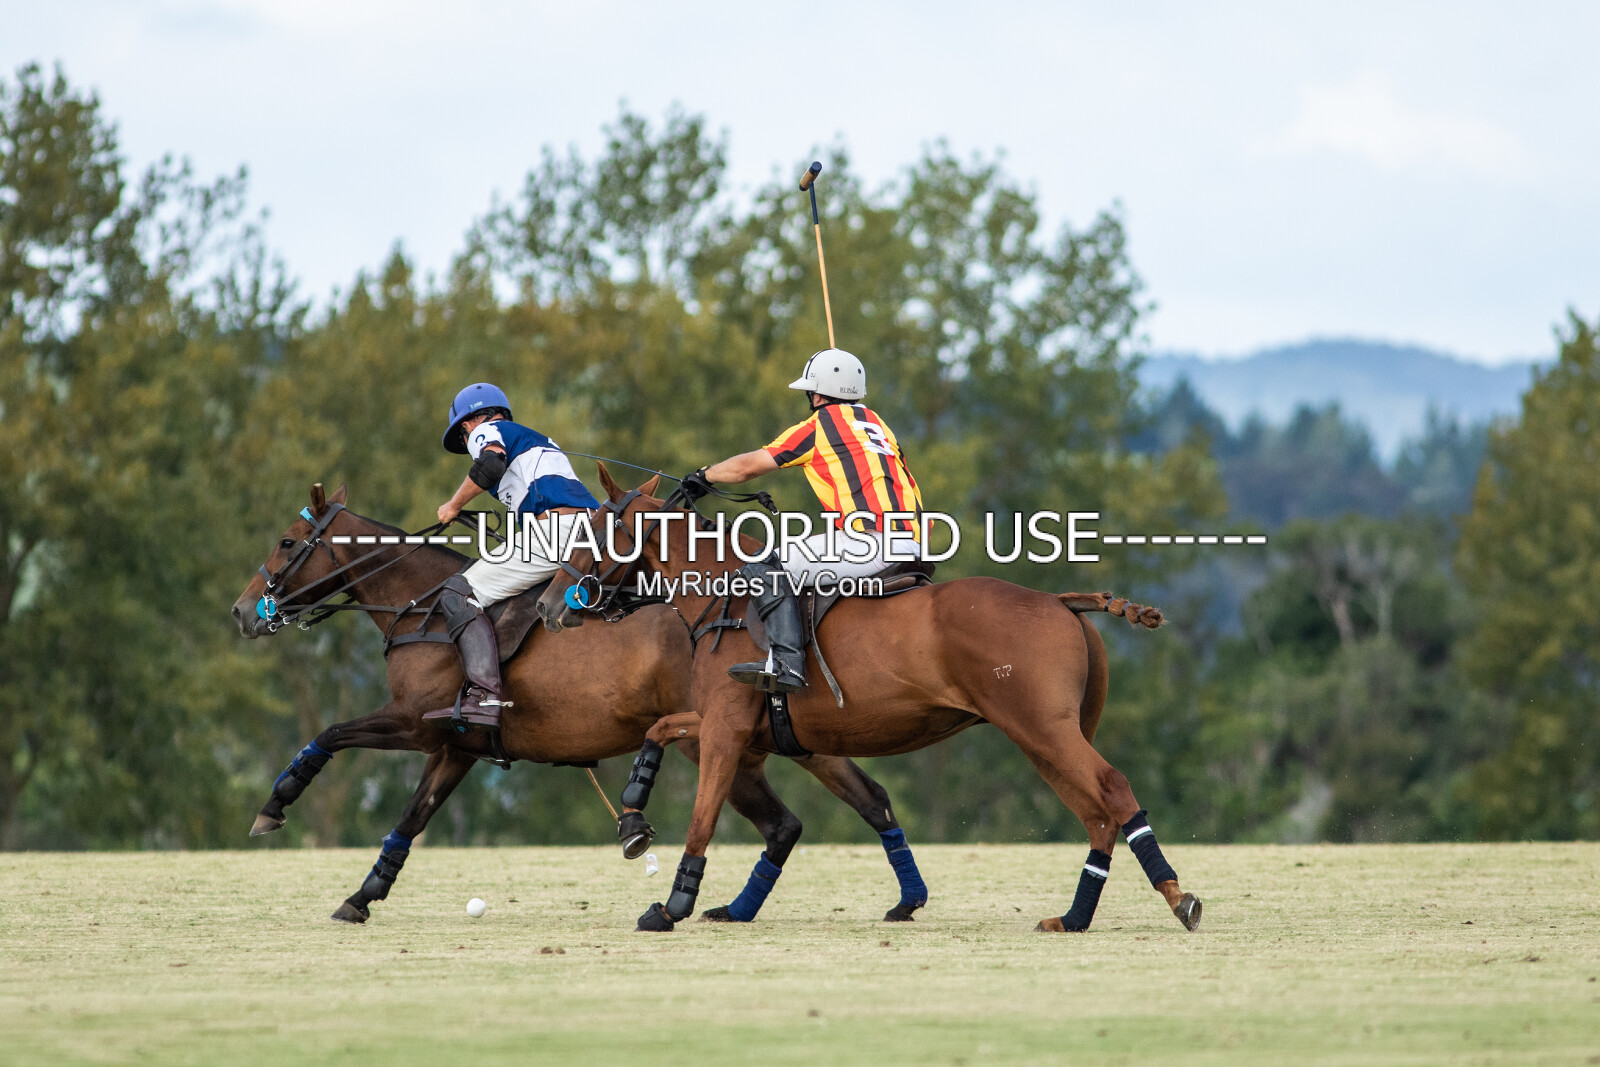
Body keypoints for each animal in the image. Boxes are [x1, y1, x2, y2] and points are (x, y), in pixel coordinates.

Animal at [230, 482, 933, 924]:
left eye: (288, 542)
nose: (241, 612)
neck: (419, 608)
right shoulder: (457, 746)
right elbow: (410, 819)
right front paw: (361, 896)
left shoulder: (415, 724)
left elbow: (330, 733)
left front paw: (273, 807)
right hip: (786, 733)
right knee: (846, 804)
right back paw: (888, 899)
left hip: (722, 738)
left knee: (793, 817)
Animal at [537, 473, 1202, 934]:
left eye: (590, 532)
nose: (548, 606)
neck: (723, 595)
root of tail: (1060, 601)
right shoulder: (735, 724)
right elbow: (658, 730)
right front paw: (632, 821)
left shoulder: (726, 728)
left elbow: (702, 817)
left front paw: (671, 907)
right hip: (1045, 735)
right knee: (1095, 814)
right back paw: (1074, 918)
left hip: (1043, 728)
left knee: (1112, 791)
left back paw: (1179, 898)